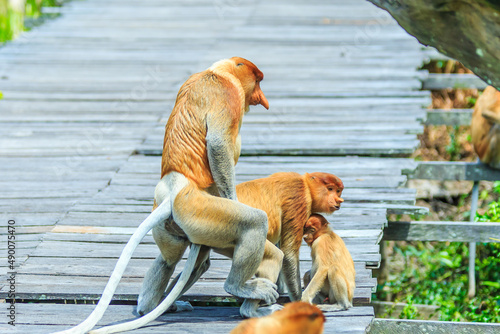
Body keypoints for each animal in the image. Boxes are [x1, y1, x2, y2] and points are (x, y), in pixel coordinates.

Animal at [52, 56, 272, 332]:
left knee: (169, 260)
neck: (220, 72)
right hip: (199, 208)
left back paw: (150, 307)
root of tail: (174, 187)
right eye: (258, 80)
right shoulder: (227, 96)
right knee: (253, 221)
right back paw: (237, 286)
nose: (262, 97)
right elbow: (218, 144)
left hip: (174, 221)